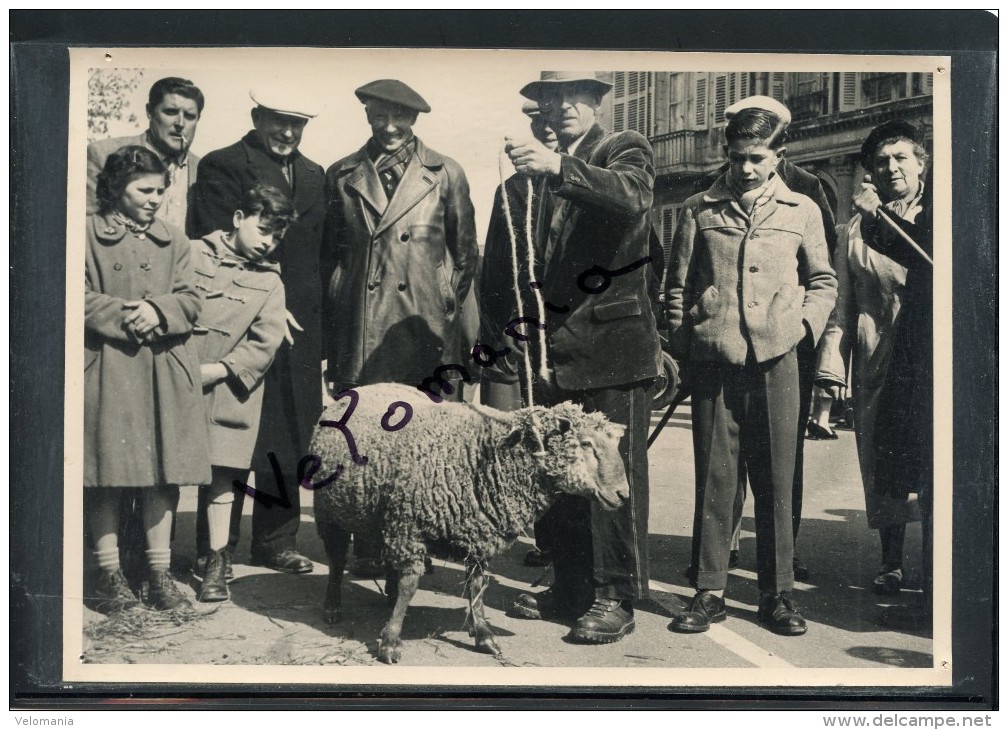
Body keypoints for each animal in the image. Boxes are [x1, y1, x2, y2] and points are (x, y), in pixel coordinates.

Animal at [312, 385, 628, 665]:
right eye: (585, 444)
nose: (624, 494)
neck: (489, 453)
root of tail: (360, 389)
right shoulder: (410, 527)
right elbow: (410, 585)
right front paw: (390, 642)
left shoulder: (477, 535)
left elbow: (477, 587)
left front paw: (484, 635)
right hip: (330, 512)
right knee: (337, 560)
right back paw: (332, 606)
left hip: (384, 517)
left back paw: (388, 596)